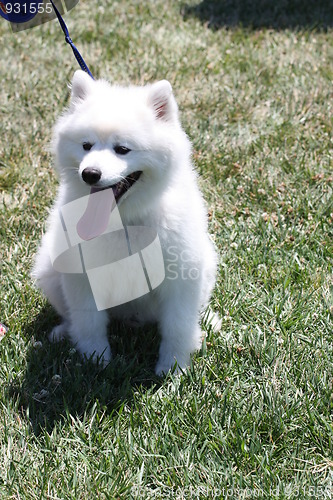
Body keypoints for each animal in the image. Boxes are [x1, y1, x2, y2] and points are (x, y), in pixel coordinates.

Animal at [32, 71, 217, 376]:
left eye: (122, 149)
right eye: (86, 145)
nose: (90, 173)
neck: (124, 221)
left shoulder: (181, 278)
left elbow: (177, 327)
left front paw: (172, 368)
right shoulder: (83, 278)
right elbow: (89, 324)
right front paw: (97, 359)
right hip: (50, 270)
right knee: (71, 317)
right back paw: (63, 332)